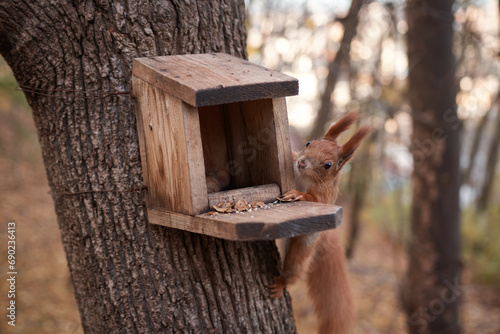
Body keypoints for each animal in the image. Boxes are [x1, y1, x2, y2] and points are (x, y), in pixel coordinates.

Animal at [270, 111, 372, 334]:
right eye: (309, 143)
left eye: (328, 165)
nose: (302, 163)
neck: (304, 177)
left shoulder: (324, 197)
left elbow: (313, 199)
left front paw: (297, 194)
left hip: (303, 249)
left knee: (294, 269)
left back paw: (281, 283)